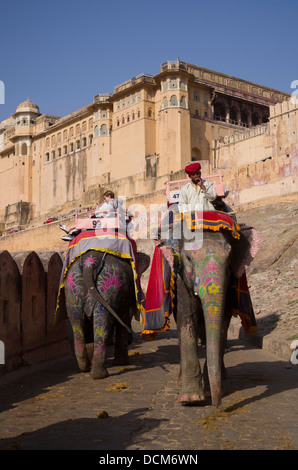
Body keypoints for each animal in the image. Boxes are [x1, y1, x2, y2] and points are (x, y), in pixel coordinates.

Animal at [64, 250, 150, 378]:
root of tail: (89, 263)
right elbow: (124, 317)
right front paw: (122, 363)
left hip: (73, 290)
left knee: (77, 323)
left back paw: (85, 368)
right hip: (109, 289)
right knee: (102, 322)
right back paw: (101, 374)